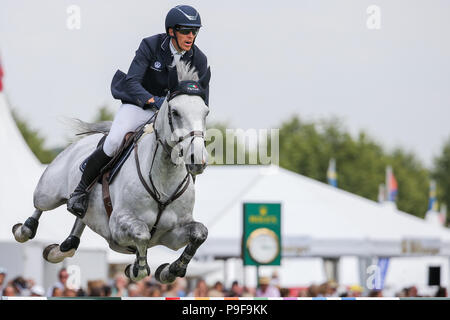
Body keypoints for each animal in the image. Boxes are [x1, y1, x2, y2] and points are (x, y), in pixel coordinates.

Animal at [11, 62, 213, 282]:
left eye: (205, 113)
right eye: (175, 112)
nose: (197, 159)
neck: (164, 180)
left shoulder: (171, 234)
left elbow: (200, 233)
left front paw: (170, 271)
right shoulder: (119, 225)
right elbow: (142, 234)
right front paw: (137, 269)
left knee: (78, 223)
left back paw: (60, 248)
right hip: (49, 193)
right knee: (39, 207)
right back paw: (24, 230)